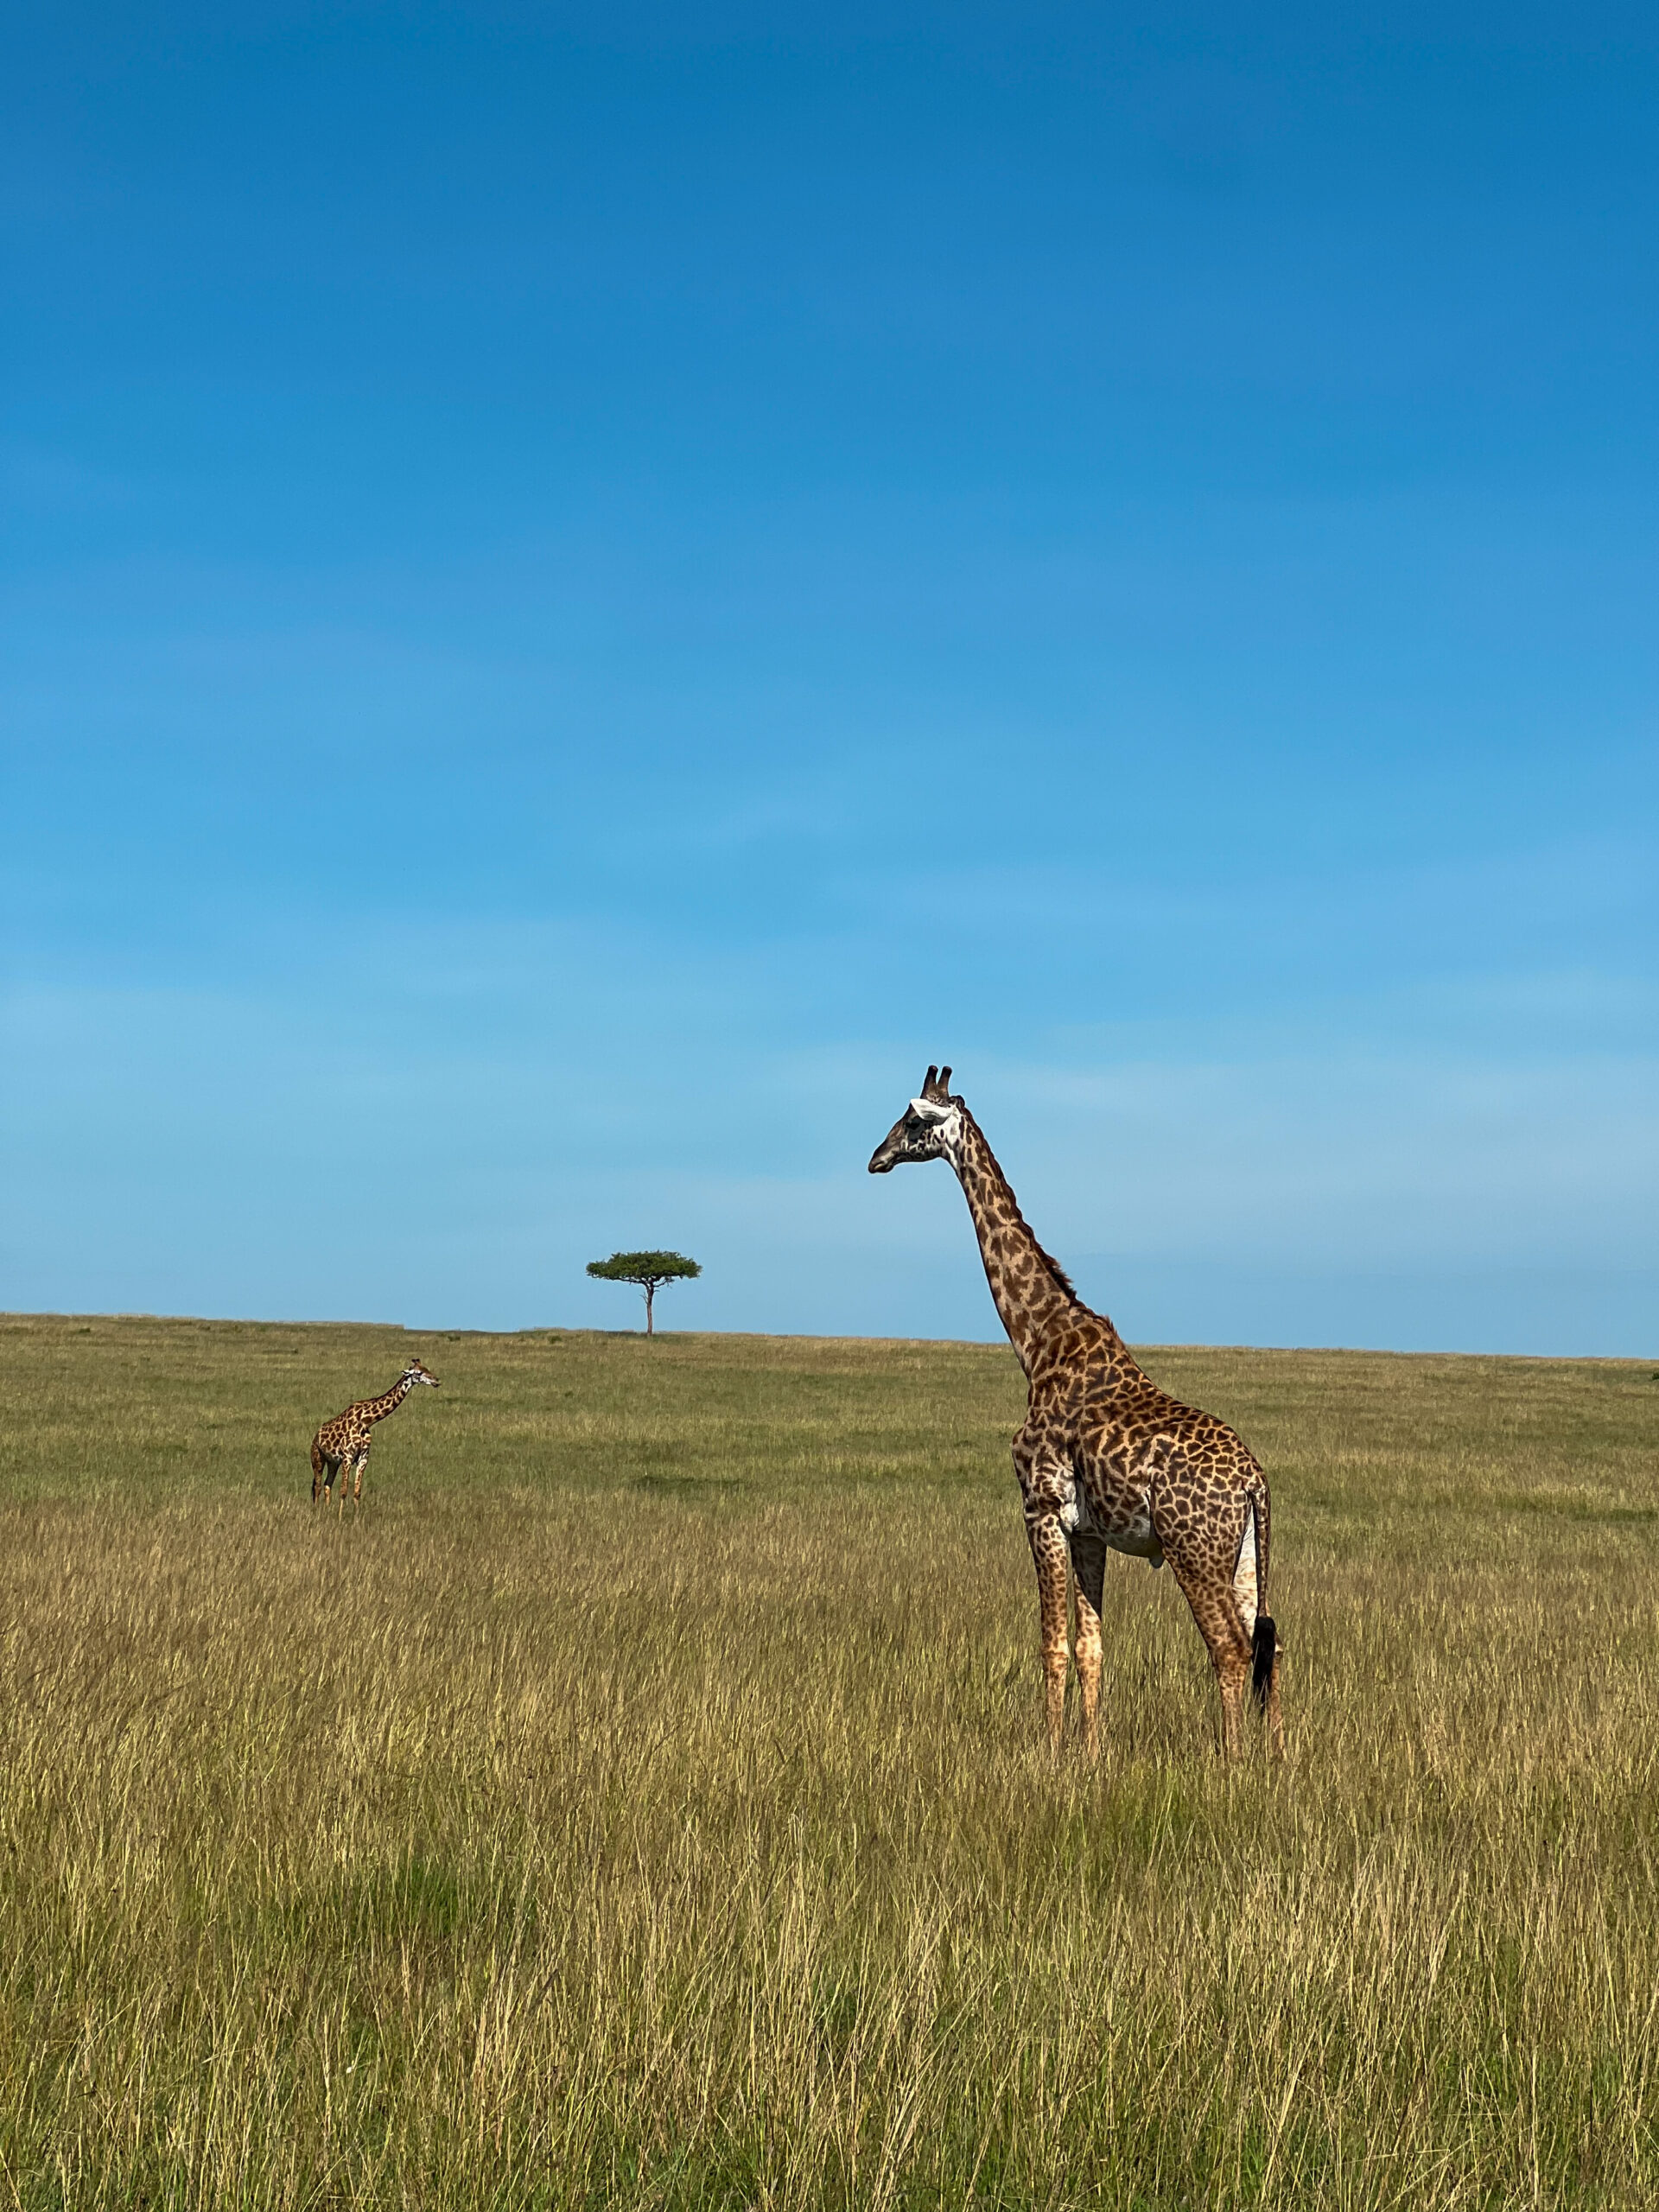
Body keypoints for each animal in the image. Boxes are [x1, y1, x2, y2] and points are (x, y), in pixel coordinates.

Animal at [310, 1358, 439, 1513]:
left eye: (427, 1368)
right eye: (419, 1373)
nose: (437, 1380)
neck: (366, 1421)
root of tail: (316, 1436)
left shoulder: (363, 1458)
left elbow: (357, 1492)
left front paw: (356, 1516)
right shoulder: (347, 1457)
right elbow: (343, 1491)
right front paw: (340, 1517)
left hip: (333, 1462)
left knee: (327, 1485)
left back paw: (327, 1510)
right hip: (318, 1458)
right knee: (317, 1487)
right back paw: (317, 1511)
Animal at [869, 1068, 1283, 1759]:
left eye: (914, 1121)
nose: (876, 1158)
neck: (1037, 1343)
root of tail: (1254, 1482)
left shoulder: (1039, 1508)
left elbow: (1053, 1645)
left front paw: (1050, 1752)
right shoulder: (1089, 1530)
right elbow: (1092, 1647)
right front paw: (1090, 1754)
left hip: (1195, 1550)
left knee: (1229, 1647)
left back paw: (1230, 1761)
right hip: (1247, 1553)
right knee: (1266, 1642)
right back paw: (1276, 1757)